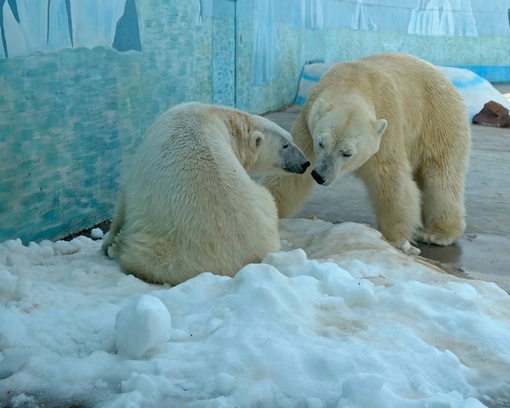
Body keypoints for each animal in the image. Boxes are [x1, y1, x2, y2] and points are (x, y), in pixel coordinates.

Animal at [101, 101, 308, 284]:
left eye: (290, 141)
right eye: (286, 144)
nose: (305, 163)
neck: (216, 114)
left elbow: (123, 203)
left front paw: (106, 243)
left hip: (164, 249)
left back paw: (118, 247)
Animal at [262, 52, 470, 253]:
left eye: (347, 153)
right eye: (321, 143)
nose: (320, 175)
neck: (352, 81)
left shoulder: (386, 125)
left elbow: (389, 177)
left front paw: (394, 239)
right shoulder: (308, 125)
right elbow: (289, 171)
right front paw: (272, 211)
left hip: (437, 120)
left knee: (440, 175)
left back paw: (438, 233)